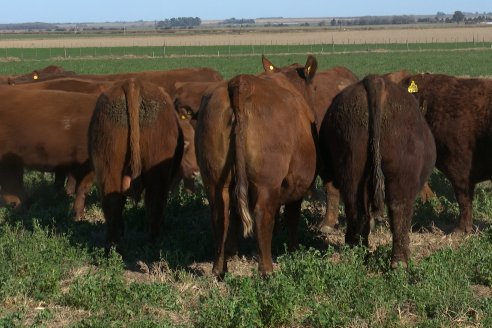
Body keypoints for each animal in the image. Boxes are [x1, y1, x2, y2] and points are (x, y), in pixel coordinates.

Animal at [88, 78, 183, 249]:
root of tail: (132, 83)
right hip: (156, 176)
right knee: (155, 203)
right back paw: (153, 242)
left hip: (109, 168)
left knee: (113, 203)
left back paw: (113, 246)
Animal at [197, 55, 320, 276]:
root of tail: (241, 83)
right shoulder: (297, 182)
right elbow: (292, 216)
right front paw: (294, 249)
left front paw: (233, 250)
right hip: (266, 182)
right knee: (262, 215)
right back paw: (267, 270)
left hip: (214, 179)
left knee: (220, 214)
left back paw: (219, 269)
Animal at [320, 75, 434, 270]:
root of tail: (375, 80)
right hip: (401, 179)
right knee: (399, 210)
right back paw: (400, 261)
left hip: (351, 169)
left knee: (356, 210)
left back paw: (358, 252)